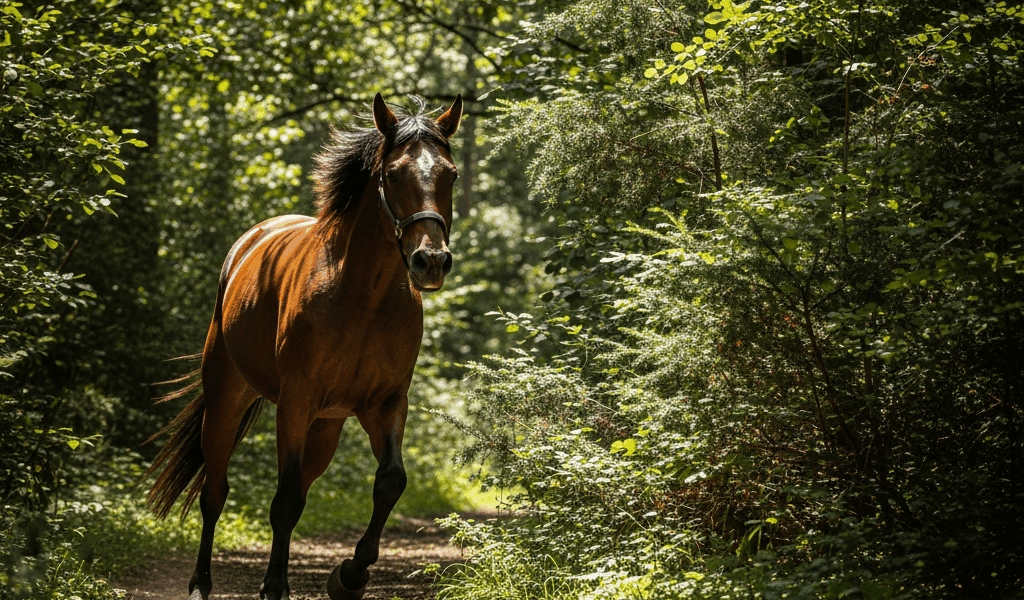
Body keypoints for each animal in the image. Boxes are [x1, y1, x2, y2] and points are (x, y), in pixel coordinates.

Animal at [144, 93, 463, 600]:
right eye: (394, 175)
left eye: (450, 174)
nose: (430, 262)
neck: (361, 295)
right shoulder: (295, 402)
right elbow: (286, 499)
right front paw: (275, 586)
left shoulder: (386, 403)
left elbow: (389, 482)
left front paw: (348, 576)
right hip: (226, 402)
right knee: (215, 491)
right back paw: (200, 584)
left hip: (325, 427)